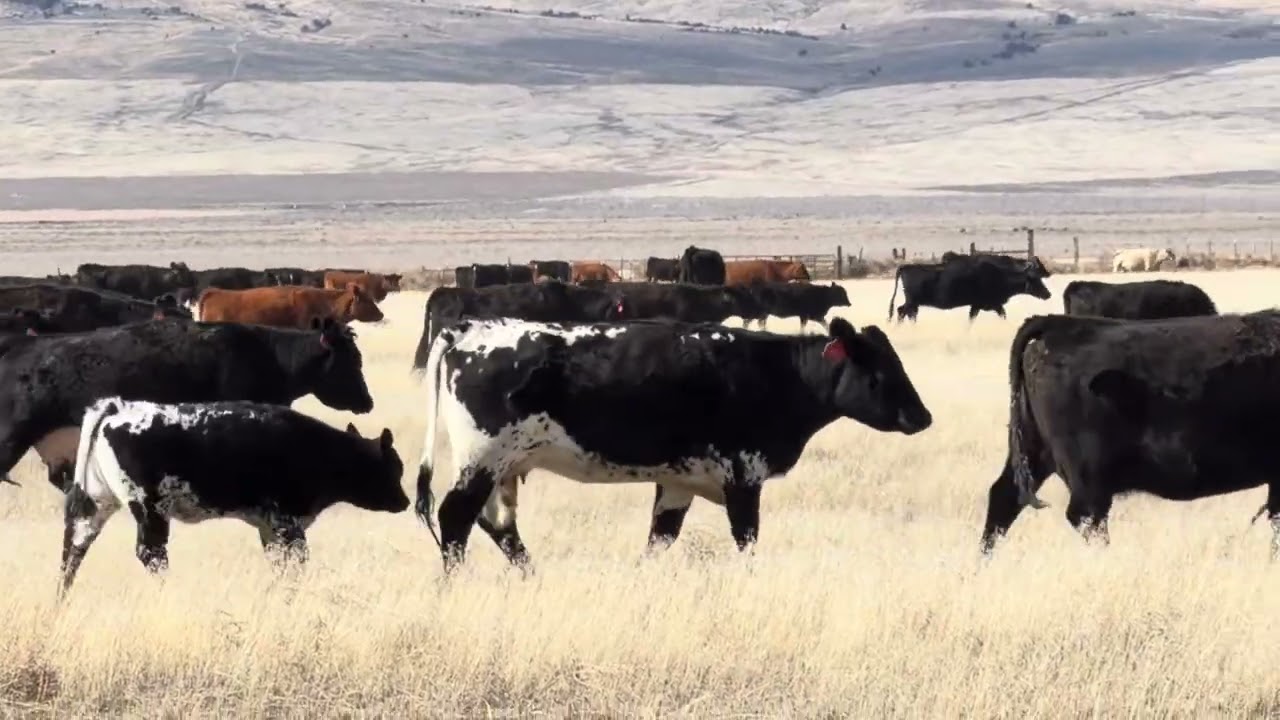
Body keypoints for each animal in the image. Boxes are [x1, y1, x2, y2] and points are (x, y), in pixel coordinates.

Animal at [59, 397, 409, 596]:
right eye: (394, 468)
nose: (405, 502)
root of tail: (118, 408)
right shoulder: (287, 522)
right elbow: (297, 560)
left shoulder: (269, 526)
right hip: (149, 509)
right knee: (151, 553)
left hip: (96, 504)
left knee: (73, 550)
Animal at [414, 316, 932, 573]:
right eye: (879, 370)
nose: (922, 417)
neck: (776, 372)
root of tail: (471, 328)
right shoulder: (743, 476)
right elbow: (747, 541)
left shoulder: (679, 482)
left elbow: (659, 539)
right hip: (482, 459)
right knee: (455, 518)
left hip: (502, 468)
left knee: (498, 524)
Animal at [887, 259, 1052, 322]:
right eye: (1036, 279)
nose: (1048, 294)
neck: (999, 276)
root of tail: (905, 267)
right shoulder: (988, 304)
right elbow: (1002, 315)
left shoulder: (977, 306)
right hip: (912, 301)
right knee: (903, 312)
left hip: (913, 303)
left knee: (904, 313)